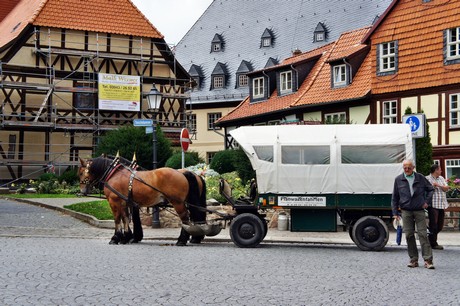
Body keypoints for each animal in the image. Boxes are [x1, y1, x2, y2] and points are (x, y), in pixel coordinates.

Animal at [79, 157, 207, 245]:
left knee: (185, 218)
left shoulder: (114, 201)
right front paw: (127, 237)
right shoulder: (125, 202)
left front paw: (116, 238)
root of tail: (183, 173)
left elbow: (118, 219)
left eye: (80, 172)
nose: (82, 190)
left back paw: (182, 240)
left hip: (178, 203)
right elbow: (125, 218)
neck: (114, 174)